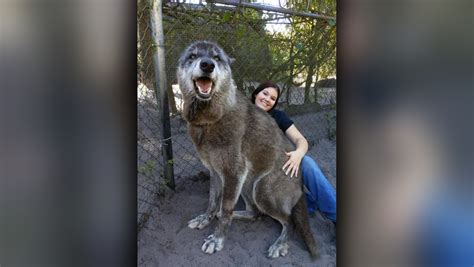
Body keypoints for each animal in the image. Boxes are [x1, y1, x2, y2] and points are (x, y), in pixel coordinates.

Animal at [176, 40, 316, 260]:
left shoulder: (233, 173)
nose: (207, 65)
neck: (210, 120)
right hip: (246, 185)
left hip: (261, 190)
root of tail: (300, 185)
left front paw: (217, 240)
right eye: (192, 56)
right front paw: (205, 219)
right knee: (254, 213)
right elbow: (213, 201)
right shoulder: (216, 172)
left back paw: (280, 244)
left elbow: (225, 209)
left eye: (217, 58)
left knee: (288, 220)